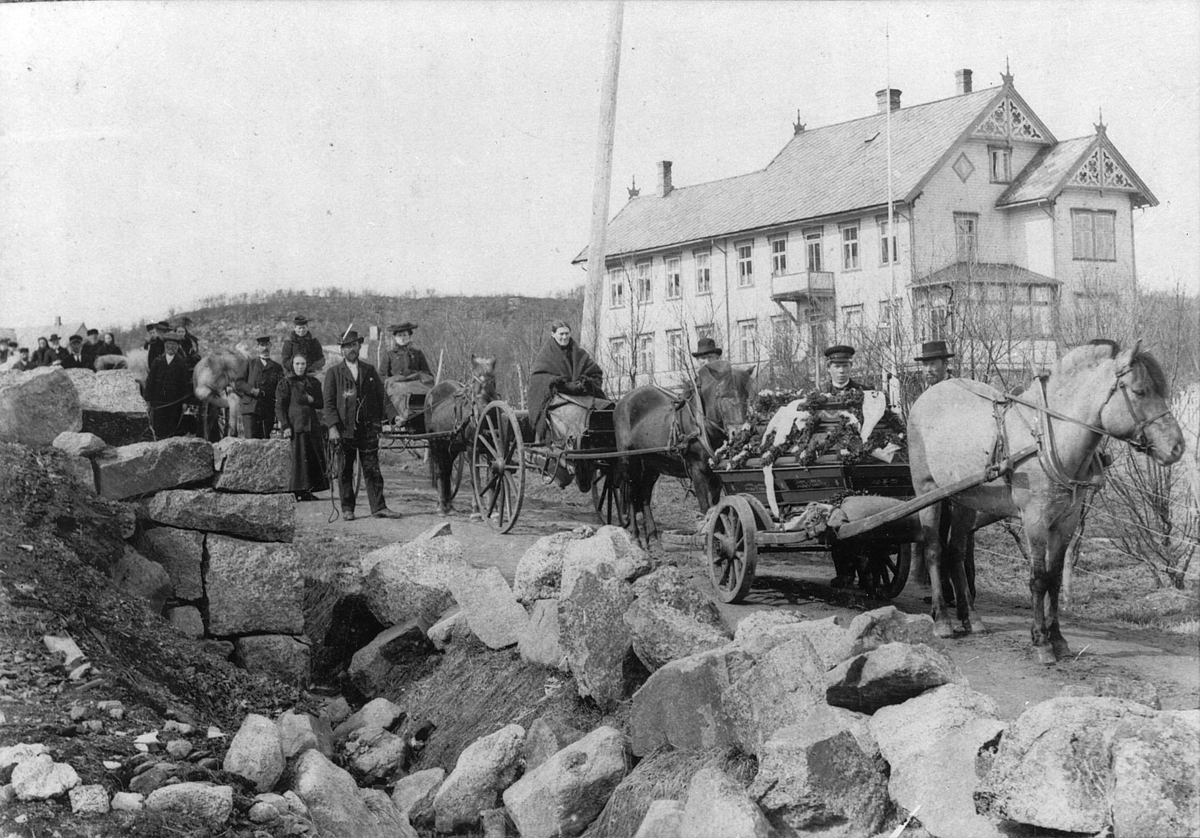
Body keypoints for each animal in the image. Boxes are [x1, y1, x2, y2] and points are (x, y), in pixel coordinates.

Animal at [427, 352, 496, 516]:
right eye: (474, 382)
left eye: (492, 382)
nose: (481, 412)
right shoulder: (471, 448)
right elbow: (475, 478)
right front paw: (476, 509)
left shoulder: (491, 449)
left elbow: (490, 478)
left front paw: (494, 509)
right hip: (435, 444)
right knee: (439, 471)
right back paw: (441, 506)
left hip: (451, 448)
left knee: (446, 470)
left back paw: (448, 504)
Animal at [614, 357, 753, 542]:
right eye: (721, 395)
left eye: (746, 395)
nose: (738, 433)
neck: (702, 426)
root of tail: (623, 401)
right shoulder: (697, 471)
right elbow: (705, 507)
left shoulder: (715, 475)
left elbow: (715, 506)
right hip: (628, 462)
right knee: (631, 495)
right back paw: (636, 536)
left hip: (651, 465)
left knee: (644, 496)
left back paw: (653, 537)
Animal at [912, 338, 1185, 657]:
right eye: (1140, 391)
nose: (1177, 447)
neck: (1048, 440)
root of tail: (927, 395)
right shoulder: (1035, 520)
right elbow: (1038, 578)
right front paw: (1041, 641)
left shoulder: (1066, 521)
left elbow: (1054, 578)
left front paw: (1058, 639)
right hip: (927, 492)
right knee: (934, 551)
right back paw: (942, 620)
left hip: (965, 500)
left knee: (955, 552)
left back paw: (972, 619)